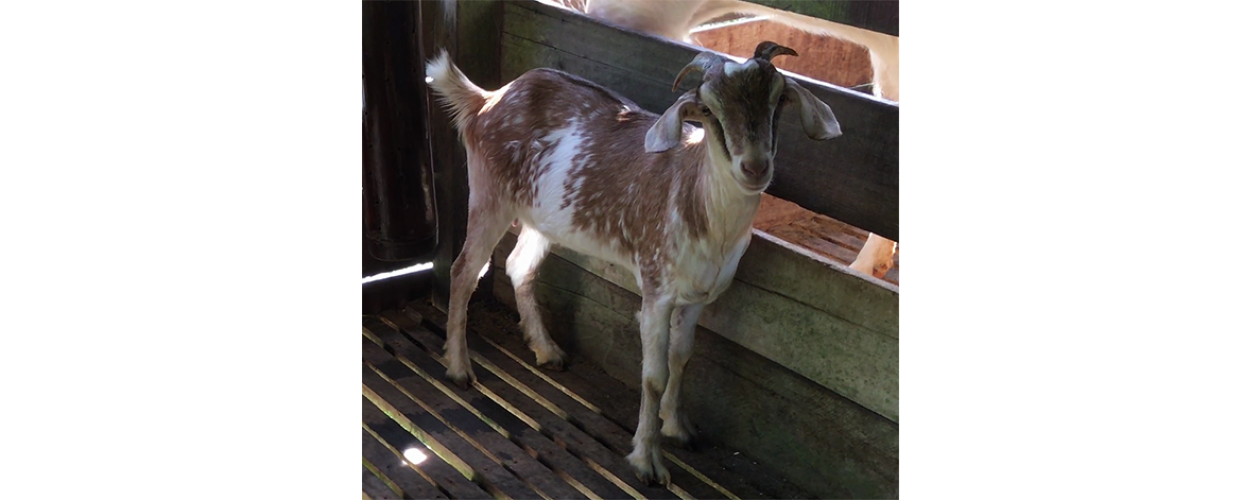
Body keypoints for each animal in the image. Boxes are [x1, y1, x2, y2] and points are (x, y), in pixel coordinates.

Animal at [425, 42, 841, 485]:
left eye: (779, 100)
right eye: (707, 109)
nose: (755, 167)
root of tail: (488, 99)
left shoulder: (698, 295)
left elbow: (682, 357)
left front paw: (679, 427)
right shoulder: (657, 289)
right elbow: (654, 376)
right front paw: (648, 460)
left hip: (544, 217)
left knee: (520, 266)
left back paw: (547, 350)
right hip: (491, 196)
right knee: (464, 270)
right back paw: (459, 367)